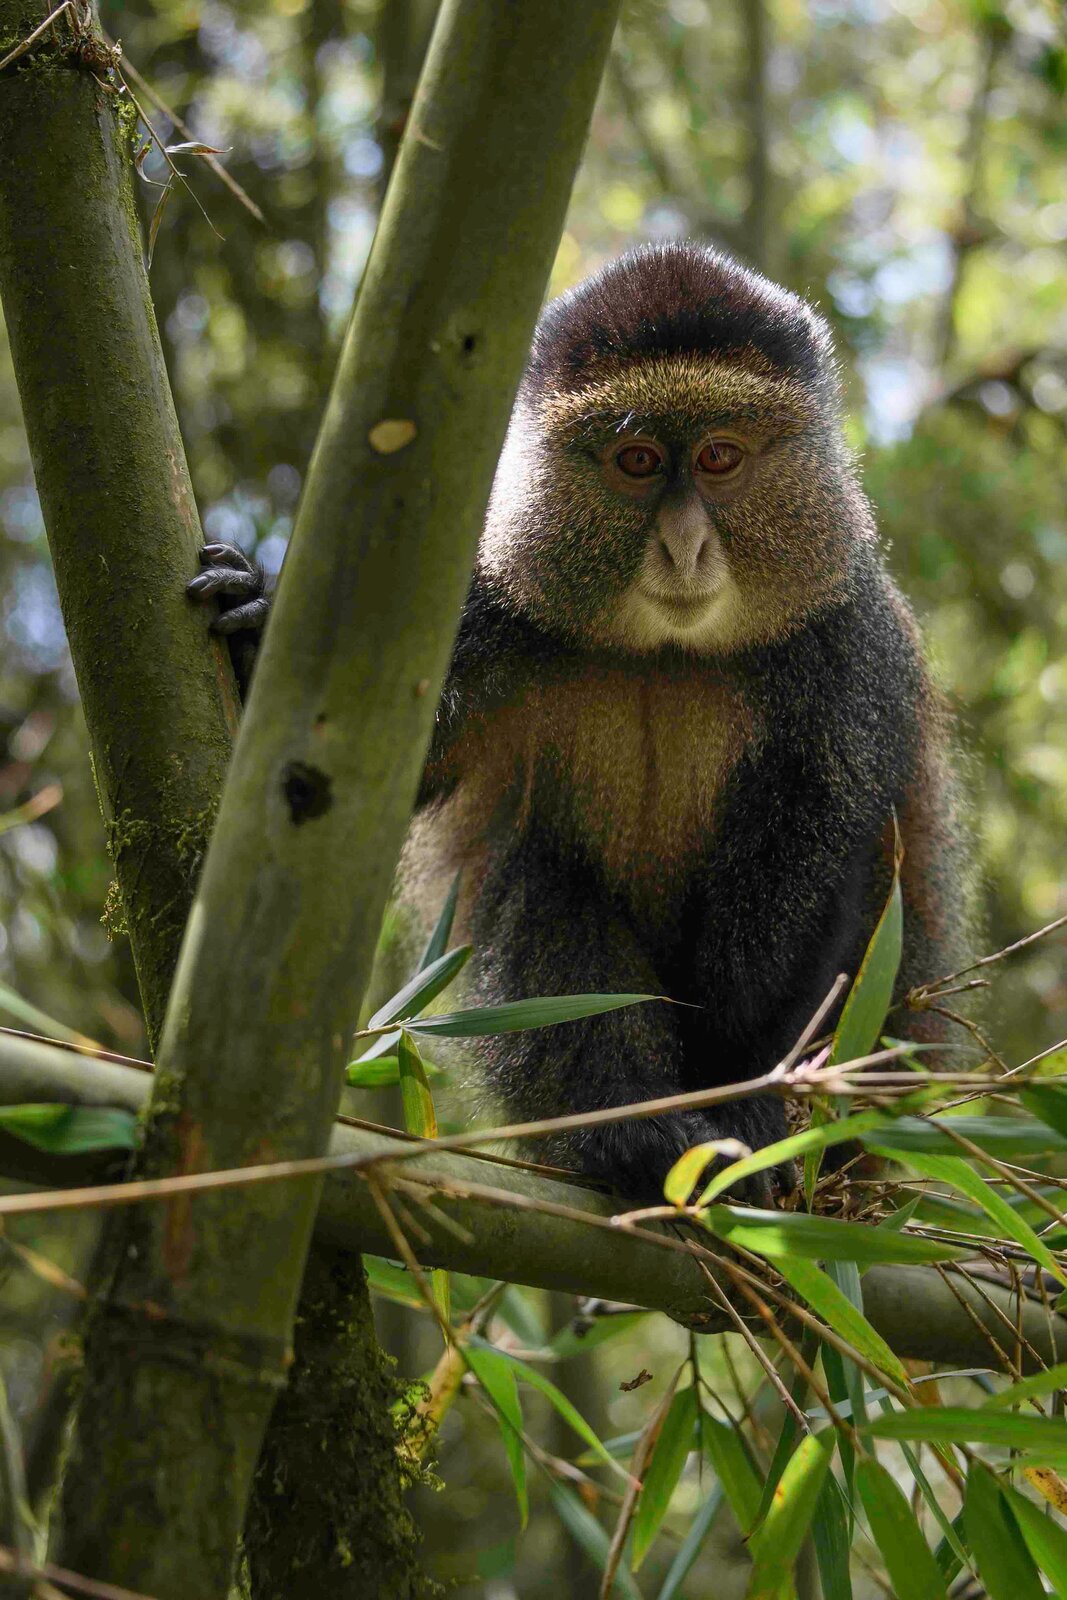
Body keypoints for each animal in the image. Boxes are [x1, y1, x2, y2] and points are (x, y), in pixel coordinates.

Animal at [189, 242, 974, 1204]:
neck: (663, 656)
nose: (683, 546)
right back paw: (635, 1138)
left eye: (718, 456)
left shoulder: (845, 653)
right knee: (536, 875)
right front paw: (256, 632)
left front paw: (749, 1100)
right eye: (635, 461)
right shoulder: (484, 615)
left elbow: (826, 861)